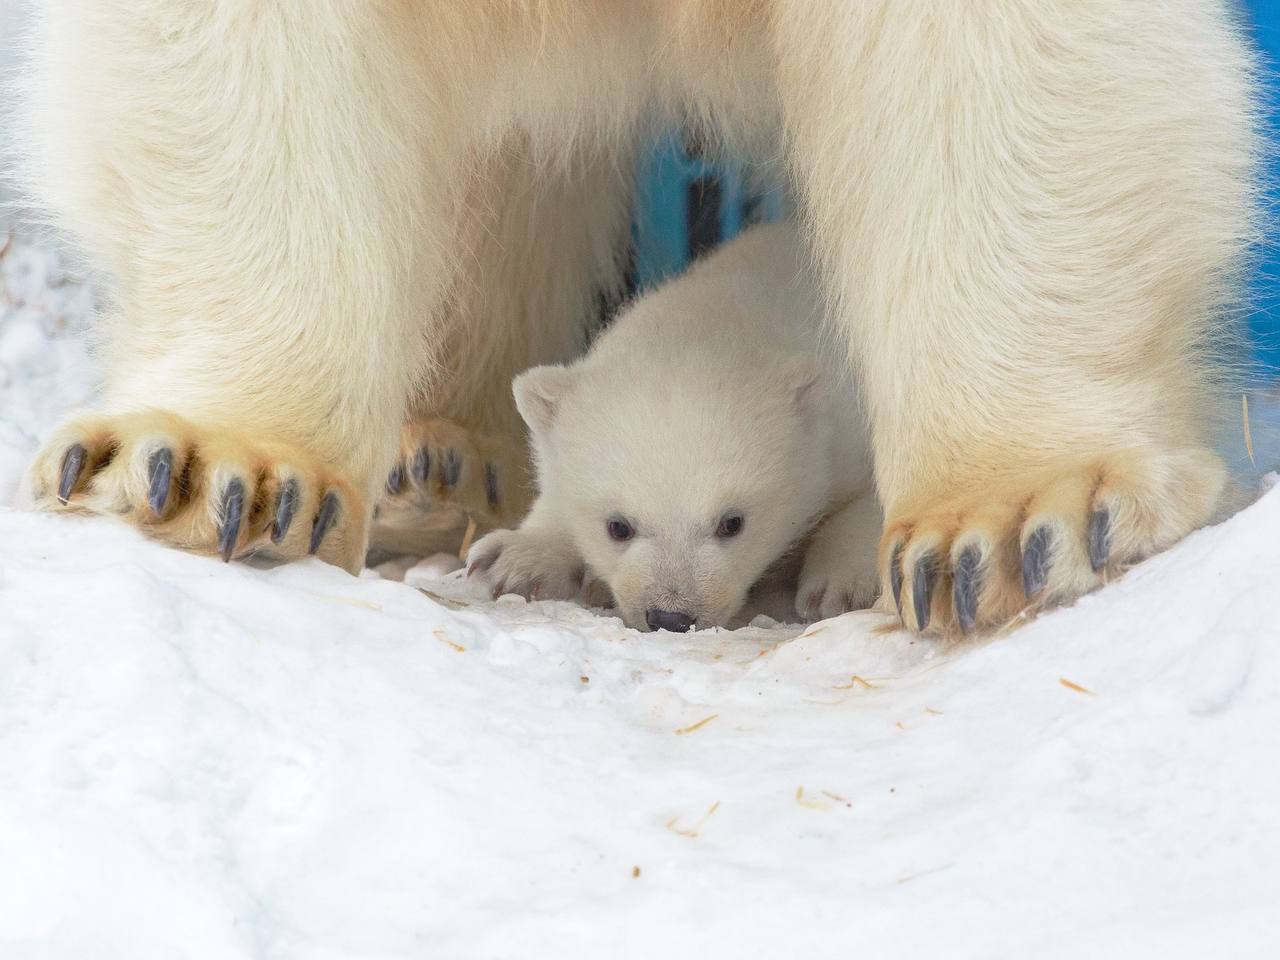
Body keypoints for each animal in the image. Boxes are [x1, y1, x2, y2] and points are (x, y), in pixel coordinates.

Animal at [17, 3, 1259, 634]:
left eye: (731, 521)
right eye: (621, 526)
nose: (664, 614)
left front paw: (1016, 517)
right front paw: (215, 464)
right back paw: (437, 461)